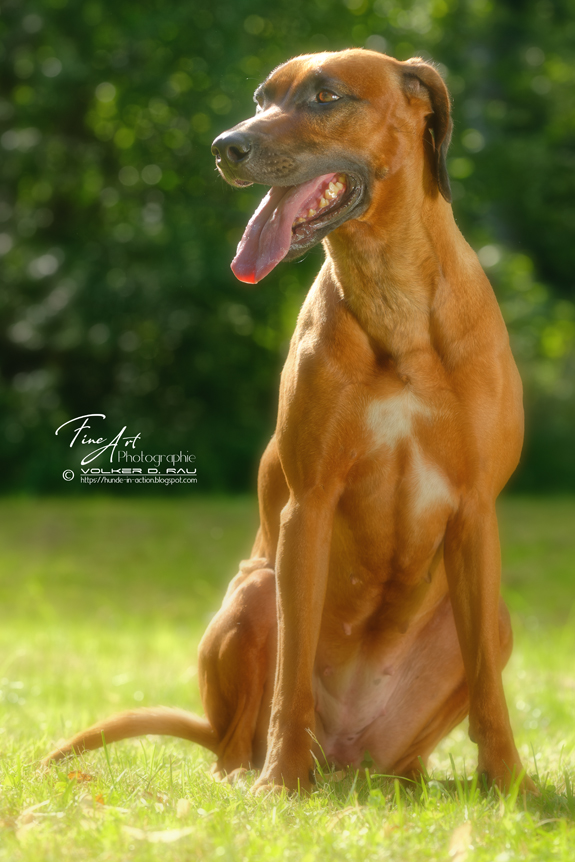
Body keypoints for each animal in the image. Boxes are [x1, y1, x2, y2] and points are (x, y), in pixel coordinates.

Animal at [42, 50, 532, 796]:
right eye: (261, 98)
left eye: (325, 96)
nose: (226, 146)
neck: (391, 297)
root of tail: (348, 759)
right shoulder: (309, 505)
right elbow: (291, 674)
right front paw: (279, 782)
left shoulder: (475, 510)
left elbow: (488, 690)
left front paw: (507, 786)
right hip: (251, 595)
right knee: (233, 737)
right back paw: (255, 774)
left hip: (486, 624)